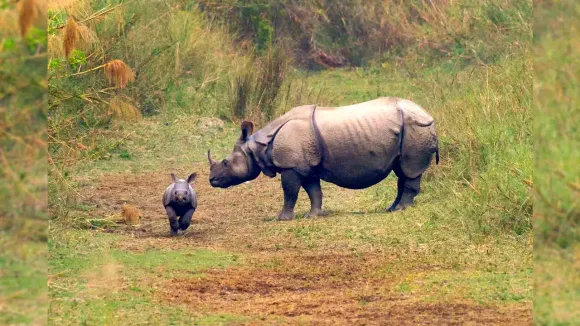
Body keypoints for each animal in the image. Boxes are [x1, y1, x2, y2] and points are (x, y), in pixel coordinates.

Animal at [208, 95, 440, 220]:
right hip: (408, 130)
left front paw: (282, 218)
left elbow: (290, 192)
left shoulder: (292, 166)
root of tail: (429, 115)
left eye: (226, 163)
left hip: (415, 128)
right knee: (401, 170)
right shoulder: (305, 165)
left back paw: (401, 209)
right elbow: (314, 191)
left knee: (410, 169)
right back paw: (391, 209)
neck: (258, 146)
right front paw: (314, 215)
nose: (211, 180)